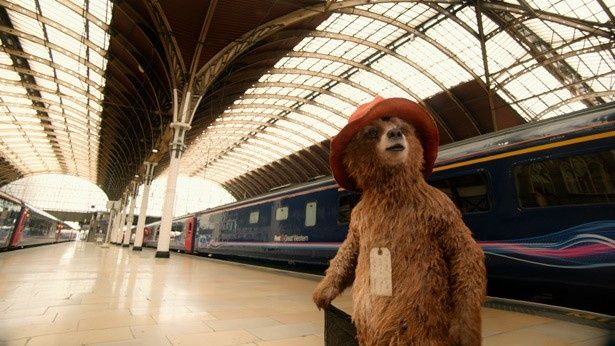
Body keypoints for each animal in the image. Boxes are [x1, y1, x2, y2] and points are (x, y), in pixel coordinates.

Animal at [316, 97, 488, 346]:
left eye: (403, 127)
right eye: (371, 132)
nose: (395, 133)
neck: (390, 193)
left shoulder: (440, 208)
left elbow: (466, 254)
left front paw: (464, 330)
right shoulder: (358, 219)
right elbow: (349, 249)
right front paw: (322, 294)